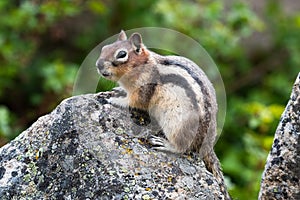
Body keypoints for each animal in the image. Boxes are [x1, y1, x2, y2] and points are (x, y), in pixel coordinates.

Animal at [96, 30, 230, 199]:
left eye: (122, 54)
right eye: (104, 48)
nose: (98, 65)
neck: (143, 66)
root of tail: (208, 144)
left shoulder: (143, 89)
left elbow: (134, 102)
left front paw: (115, 100)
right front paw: (117, 91)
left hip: (177, 125)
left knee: (182, 148)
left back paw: (165, 144)